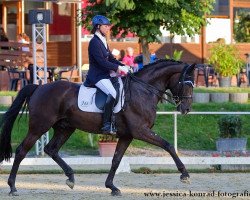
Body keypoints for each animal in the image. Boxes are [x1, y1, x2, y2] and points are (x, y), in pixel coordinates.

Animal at [0, 59, 195, 195]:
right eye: (185, 84)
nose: (186, 109)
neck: (143, 91)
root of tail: (39, 88)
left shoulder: (127, 135)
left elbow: (116, 160)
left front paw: (111, 187)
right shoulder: (140, 131)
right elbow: (168, 145)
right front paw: (184, 174)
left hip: (65, 128)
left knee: (51, 149)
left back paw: (71, 178)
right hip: (39, 127)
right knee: (22, 151)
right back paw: (12, 187)